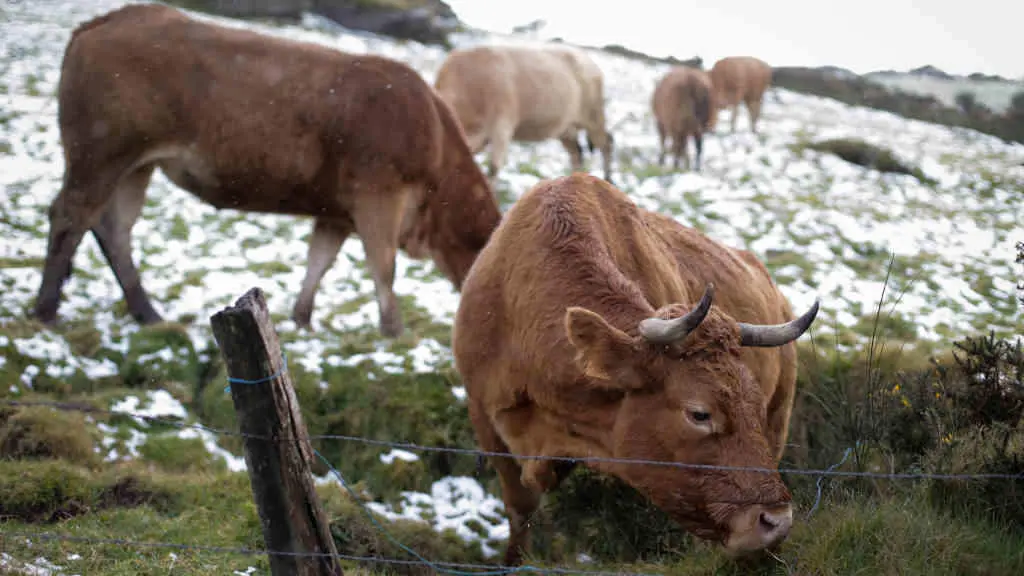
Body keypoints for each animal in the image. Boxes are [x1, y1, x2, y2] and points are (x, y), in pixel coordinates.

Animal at [31, 3, 501, 339]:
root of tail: (104, 20)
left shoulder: (336, 211)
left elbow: (319, 262)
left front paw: (302, 320)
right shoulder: (379, 197)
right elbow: (383, 266)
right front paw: (394, 332)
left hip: (135, 166)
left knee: (114, 227)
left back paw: (146, 313)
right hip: (101, 153)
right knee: (71, 216)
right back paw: (46, 310)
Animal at [433, 43, 614, 185]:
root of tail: (588, 60)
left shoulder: (502, 125)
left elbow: (493, 168)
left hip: (594, 116)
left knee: (606, 143)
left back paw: (608, 180)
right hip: (566, 128)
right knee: (577, 153)